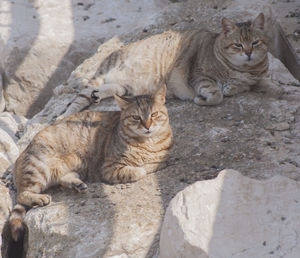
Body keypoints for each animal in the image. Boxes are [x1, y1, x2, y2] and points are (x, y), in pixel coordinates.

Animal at [8, 85, 171, 241]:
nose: (147, 126)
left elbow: (155, 161)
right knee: (22, 195)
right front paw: (145, 166)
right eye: (136, 117)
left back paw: (77, 185)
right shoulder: (109, 168)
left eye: (154, 114)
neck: (148, 143)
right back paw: (40, 198)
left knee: (62, 178)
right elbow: (139, 170)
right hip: (38, 169)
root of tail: (21, 155)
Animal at [60, 12, 268, 117]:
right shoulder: (198, 75)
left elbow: (240, 86)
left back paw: (96, 96)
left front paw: (233, 86)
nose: (248, 52)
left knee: (104, 91)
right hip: (101, 78)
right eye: (238, 44)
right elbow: (216, 94)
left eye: (255, 42)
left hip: (123, 87)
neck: (244, 69)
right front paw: (204, 99)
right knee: (77, 100)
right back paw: (63, 116)